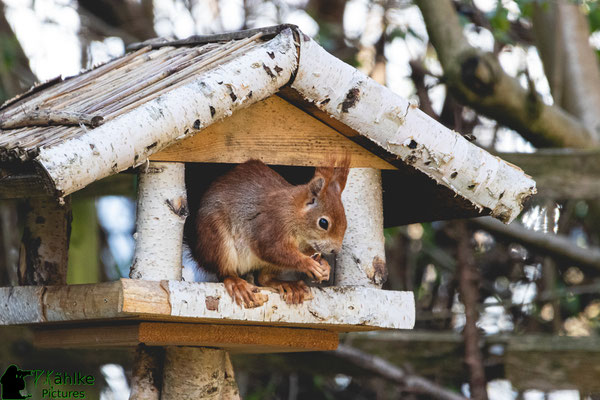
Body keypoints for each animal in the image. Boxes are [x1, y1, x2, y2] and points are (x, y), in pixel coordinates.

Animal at [189, 158, 352, 304]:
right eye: (323, 222)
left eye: (345, 222)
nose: (335, 250)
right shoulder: (270, 225)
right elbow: (271, 249)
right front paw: (308, 264)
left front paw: (325, 266)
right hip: (218, 241)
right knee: (225, 273)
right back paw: (237, 283)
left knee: (264, 278)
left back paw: (288, 285)